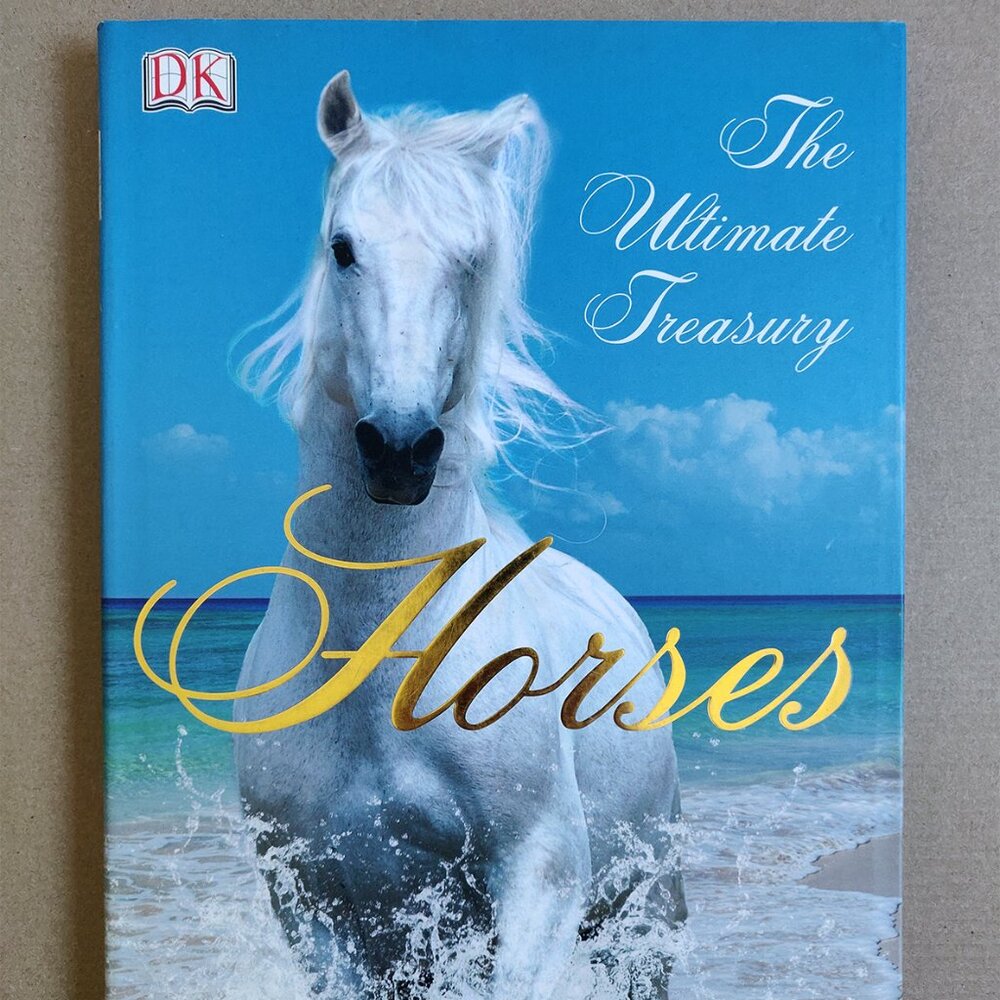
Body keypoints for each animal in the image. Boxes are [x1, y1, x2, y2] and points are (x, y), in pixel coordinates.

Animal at [234, 71, 686, 999]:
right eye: (343, 247)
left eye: (472, 259)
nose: (400, 448)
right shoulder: (315, 913)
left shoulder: (539, 876)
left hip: (644, 909)